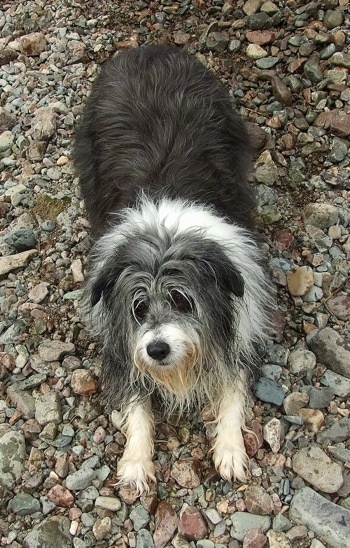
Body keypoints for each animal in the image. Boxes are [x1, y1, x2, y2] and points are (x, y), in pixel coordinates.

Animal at [74, 45, 270, 494]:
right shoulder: (121, 344)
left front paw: (230, 448)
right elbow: (136, 403)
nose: (157, 350)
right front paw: (135, 460)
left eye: (183, 301)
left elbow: (233, 390)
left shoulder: (242, 325)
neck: (166, 231)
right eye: (139, 308)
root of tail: (148, 48)